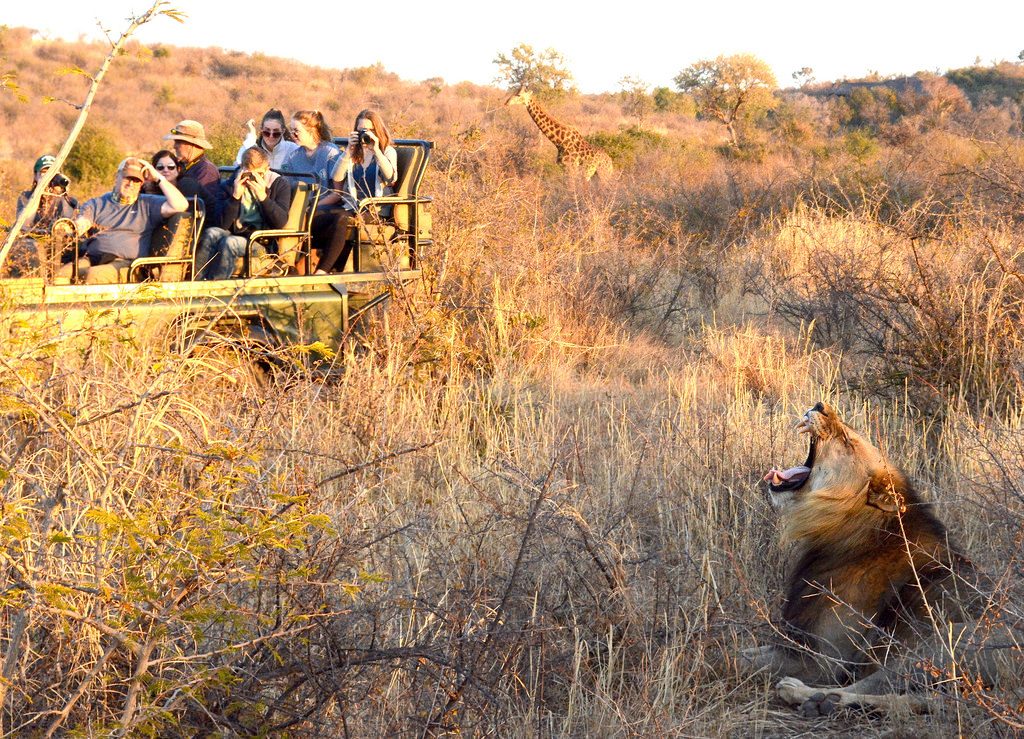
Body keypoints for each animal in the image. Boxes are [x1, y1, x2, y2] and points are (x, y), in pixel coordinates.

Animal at [745, 403, 1024, 712]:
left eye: (847, 441)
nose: (821, 406)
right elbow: (740, 650)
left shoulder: (822, 659)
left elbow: (732, 657)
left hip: (939, 644)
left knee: (873, 686)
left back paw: (809, 696)